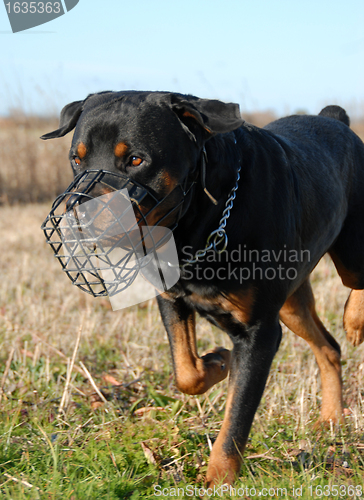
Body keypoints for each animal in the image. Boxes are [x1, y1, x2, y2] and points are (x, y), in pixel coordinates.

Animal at [41, 92, 364, 486]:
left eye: (135, 159)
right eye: (76, 158)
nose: (77, 213)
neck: (196, 228)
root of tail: (334, 119)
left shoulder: (259, 331)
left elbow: (237, 415)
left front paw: (219, 478)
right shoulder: (171, 300)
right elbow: (186, 372)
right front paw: (218, 361)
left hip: (350, 250)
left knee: (356, 282)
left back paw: (354, 320)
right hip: (291, 303)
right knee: (328, 347)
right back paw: (331, 417)